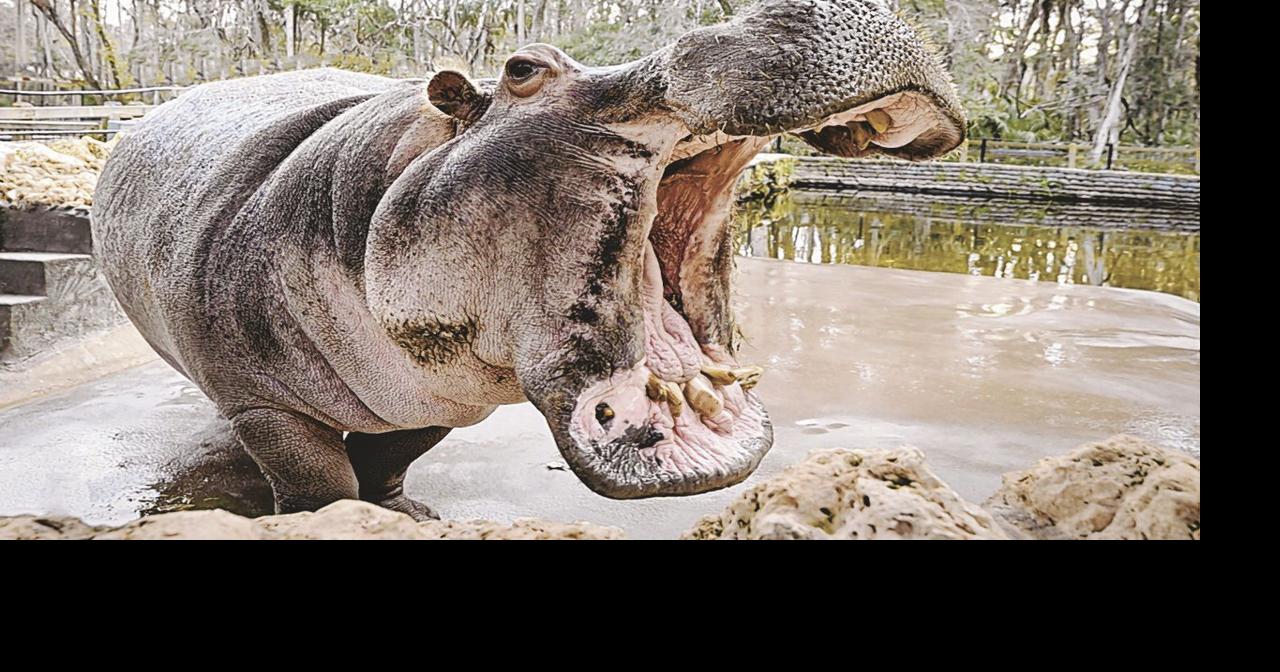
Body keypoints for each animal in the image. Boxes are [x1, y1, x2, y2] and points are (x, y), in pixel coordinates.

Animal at [91, 0, 965, 519]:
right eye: (523, 68)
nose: (820, 3)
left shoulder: (443, 398)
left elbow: (391, 462)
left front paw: (409, 515)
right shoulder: (265, 406)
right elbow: (321, 485)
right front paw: (337, 519)